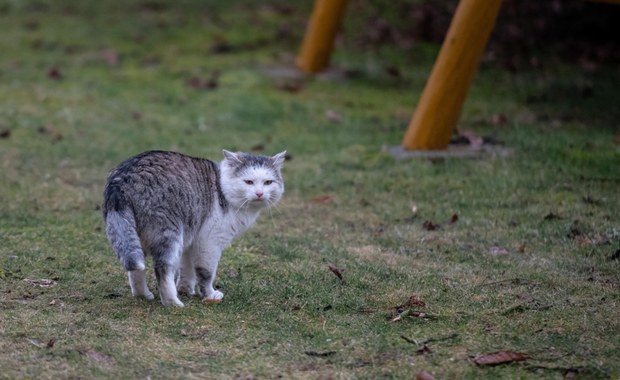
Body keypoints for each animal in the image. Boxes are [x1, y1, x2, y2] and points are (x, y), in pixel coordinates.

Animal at [101, 150, 286, 308]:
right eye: (248, 182)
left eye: (268, 182)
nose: (259, 193)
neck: (222, 189)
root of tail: (121, 181)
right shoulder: (209, 242)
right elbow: (205, 273)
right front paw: (209, 294)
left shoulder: (191, 241)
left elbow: (187, 269)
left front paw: (185, 289)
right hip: (169, 235)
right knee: (162, 270)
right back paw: (172, 302)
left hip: (139, 238)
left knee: (135, 270)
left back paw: (143, 295)